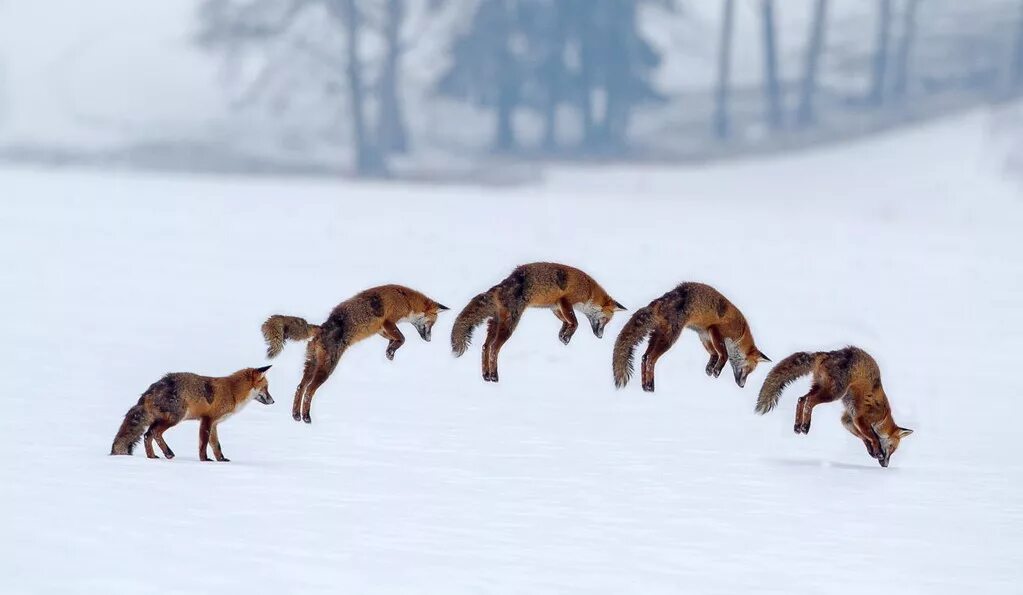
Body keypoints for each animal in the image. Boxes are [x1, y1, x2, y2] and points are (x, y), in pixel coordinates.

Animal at [109, 365, 274, 464]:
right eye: (266, 388)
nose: (273, 401)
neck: (232, 392)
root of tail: (152, 388)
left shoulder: (214, 424)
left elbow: (216, 445)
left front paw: (221, 460)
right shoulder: (207, 420)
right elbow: (203, 444)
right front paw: (204, 460)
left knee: (147, 435)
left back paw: (152, 456)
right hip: (175, 418)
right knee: (154, 433)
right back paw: (168, 453)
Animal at [259, 284, 448, 425]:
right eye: (432, 324)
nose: (429, 340)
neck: (405, 299)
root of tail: (323, 327)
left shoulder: (380, 329)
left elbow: (396, 340)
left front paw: (390, 350)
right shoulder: (388, 321)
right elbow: (402, 338)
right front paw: (391, 351)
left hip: (311, 364)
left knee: (300, 387)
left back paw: (296, 415)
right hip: (326, 369)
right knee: (310, 390)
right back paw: (306, 417)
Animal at [454, 263, 626, 384]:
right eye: (605, 320)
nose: (600, 337)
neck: (589, 289)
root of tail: (502, 285)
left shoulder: (555, 306)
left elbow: (566, 321)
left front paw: (563, 335)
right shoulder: (565, 300)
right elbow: (575, 322)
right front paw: (566, 336)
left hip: (495, 324)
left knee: (485, 347)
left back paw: (486, 375)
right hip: (509, 326)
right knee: (494, 349)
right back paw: (494, 376)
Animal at [605, 282, 769, 394]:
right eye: (748, 370)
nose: (742, 386)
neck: (741, 332)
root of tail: (661, 300)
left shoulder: (704, 335)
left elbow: (714, 354)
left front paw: (710, 369)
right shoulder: (715, 330)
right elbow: (724, 354)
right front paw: (716, 370)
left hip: (658, 336)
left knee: (645, 357)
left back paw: (647, 387)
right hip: (669, 339)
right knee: (651, 359)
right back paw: (651, 386)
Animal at [757, 347, 916, 468]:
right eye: (892, 448)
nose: (886, 465)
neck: (883, 417)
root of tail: (828, 353)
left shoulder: (848, 419)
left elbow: (864, 437)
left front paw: (871, 451)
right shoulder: (861, 418)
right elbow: (873, 437)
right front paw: (877, 452)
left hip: (821, 388)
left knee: (801, 399)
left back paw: (798, 426)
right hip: (834, 393)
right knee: (809, 401)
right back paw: (806, 425)